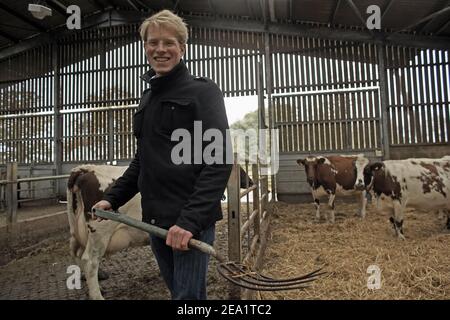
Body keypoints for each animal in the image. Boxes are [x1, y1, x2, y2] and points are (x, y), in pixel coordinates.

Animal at [66, 165, 149, 300]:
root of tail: (85, 169)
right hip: (100, 232)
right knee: (90, 261)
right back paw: (97, 296)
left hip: (76, 231)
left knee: (76, 252)